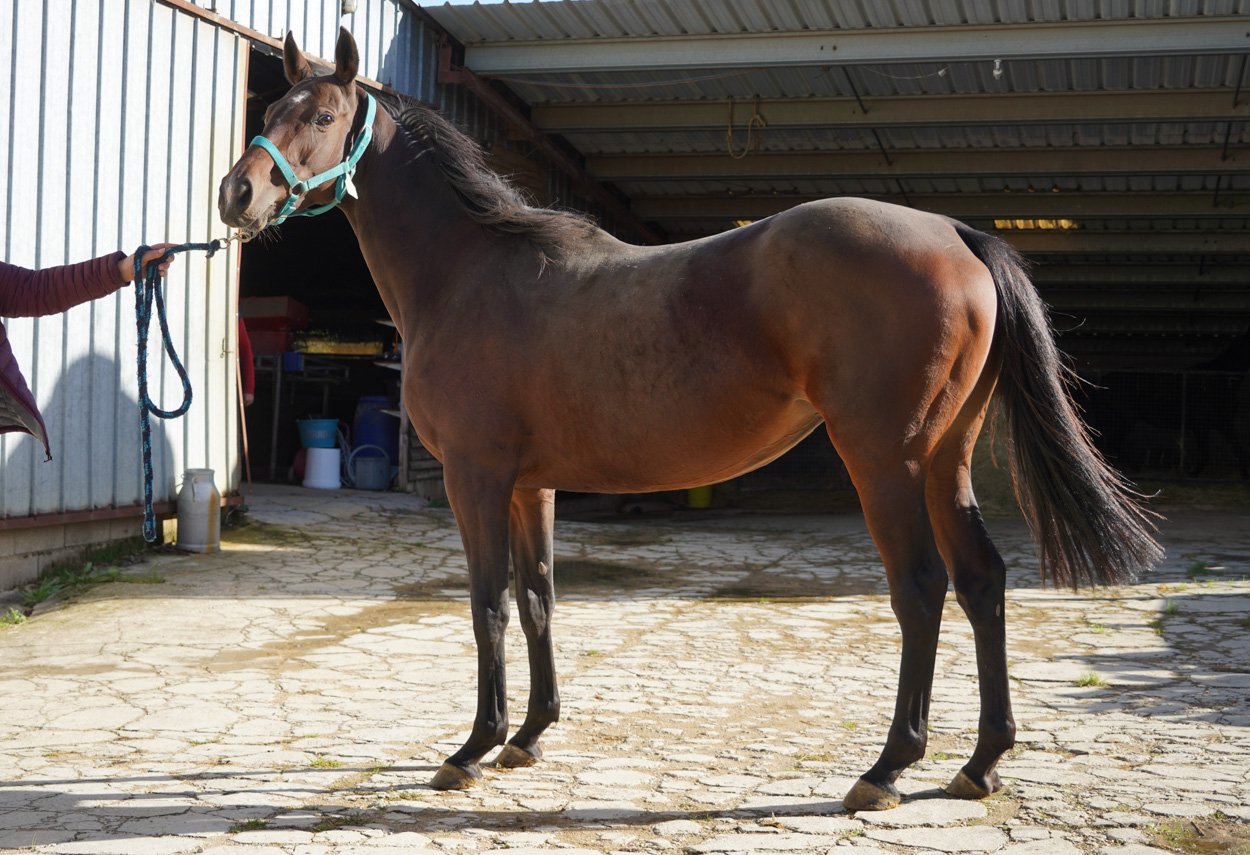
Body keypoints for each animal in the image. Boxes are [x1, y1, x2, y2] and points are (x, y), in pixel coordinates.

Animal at [218, 28, 1162, 812]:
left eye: (324, 115)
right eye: (269, 111)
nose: (237, 193)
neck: (470, 271)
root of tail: (959, 234)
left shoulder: (474, 479)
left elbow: (488, 603)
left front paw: (472, 747)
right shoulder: (532, 487)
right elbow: (539, 594)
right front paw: (529, 735)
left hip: (884, 461)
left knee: (922, 588)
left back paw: (888, 766)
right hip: (945, 459)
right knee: (982, 582)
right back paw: (980, 761)